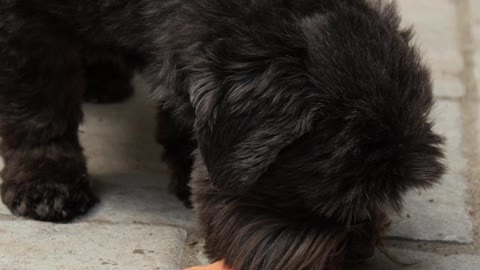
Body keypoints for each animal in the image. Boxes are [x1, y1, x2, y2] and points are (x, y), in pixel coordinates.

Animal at [0, 0, 446, 270]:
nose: (360, 250)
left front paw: (185, 168)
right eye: (332, 194)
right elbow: (39, 105)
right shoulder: (26, 20)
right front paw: (46, 179)